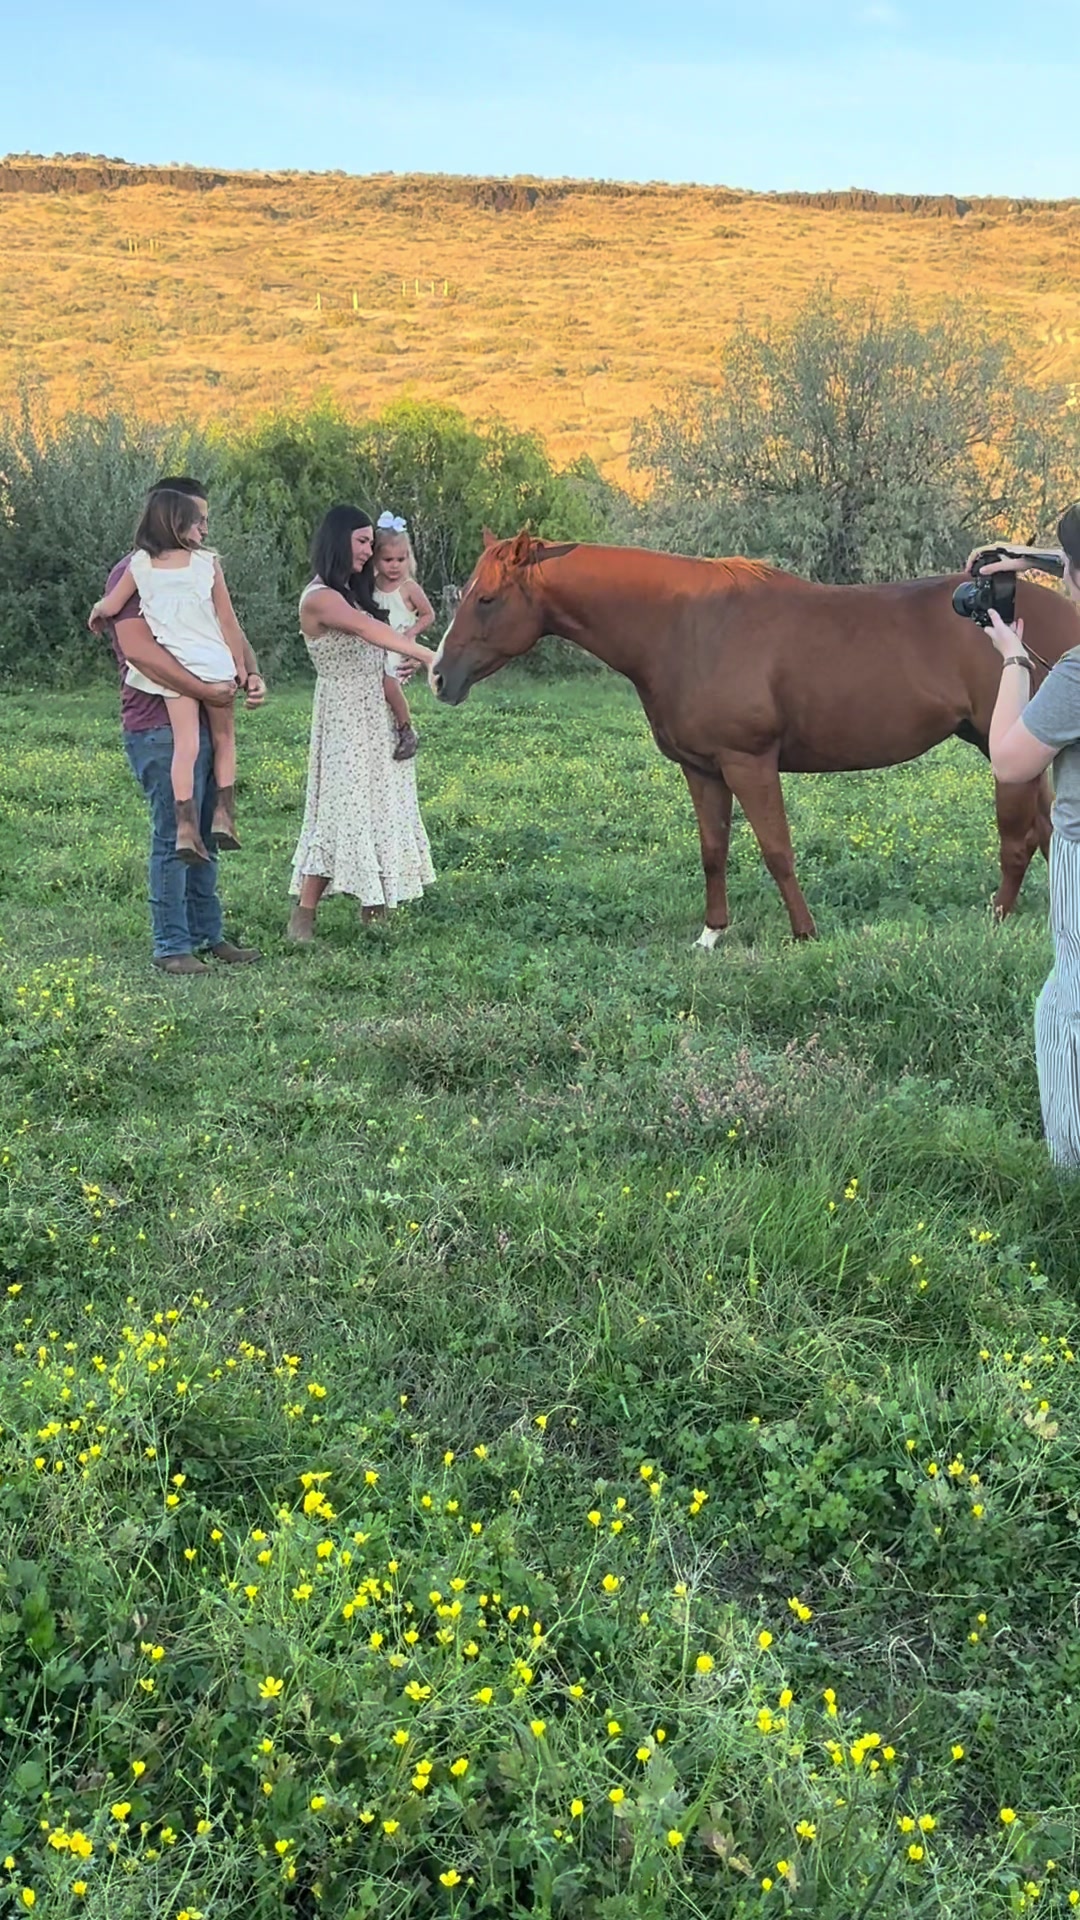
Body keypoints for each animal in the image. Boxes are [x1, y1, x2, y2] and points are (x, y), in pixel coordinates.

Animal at [430, 531, 1080, 942]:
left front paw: (805, 933)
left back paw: (997, 922)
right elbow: (713, 851)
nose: (438, 676)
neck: (685, 624)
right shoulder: (701, 768)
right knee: (1045, 834)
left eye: (486, 599)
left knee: (1020, 841)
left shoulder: (749, 762)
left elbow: (776, 850)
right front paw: (711, 934)